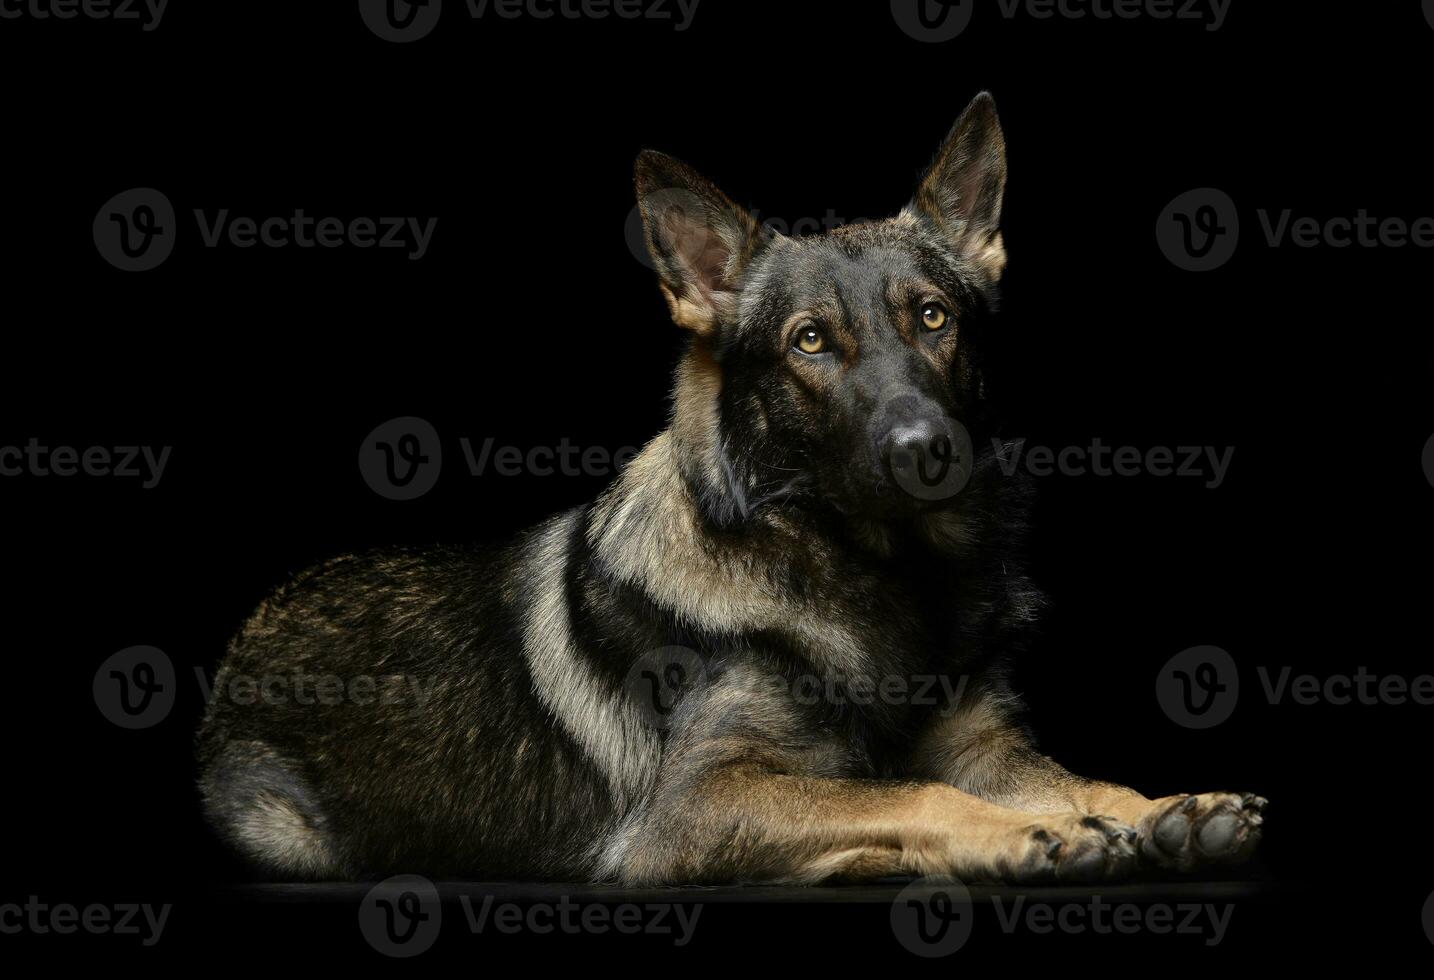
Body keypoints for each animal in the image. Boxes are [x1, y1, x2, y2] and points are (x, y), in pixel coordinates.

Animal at [199, 93, 1267, 889]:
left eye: (933, 318)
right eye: (810, 341)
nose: (927, 450)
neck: (880, 582)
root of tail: (256, 622)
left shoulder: (982, 748)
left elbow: (1073, 778)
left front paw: (1167, 810)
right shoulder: (695, 808)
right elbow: (905, 794)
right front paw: (1020, 835)